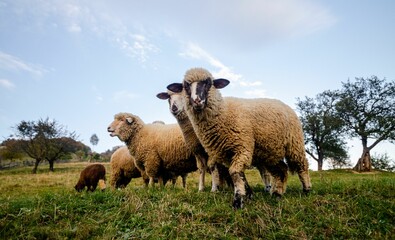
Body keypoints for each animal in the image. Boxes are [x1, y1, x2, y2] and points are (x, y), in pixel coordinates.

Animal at [167, 67, 312, 208]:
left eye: (208, 83)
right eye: (186, 85)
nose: (197, 101)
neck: (223, 113)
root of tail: (284, 104)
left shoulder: (242, 146)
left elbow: (234, 172)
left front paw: (238, 200)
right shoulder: (227, 153)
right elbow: (238, 174)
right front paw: (248, 194)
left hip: (294, 144)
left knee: (302, 165)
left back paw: (306, 190)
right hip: (270, 151)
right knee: (281, 170)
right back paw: (277, 193)